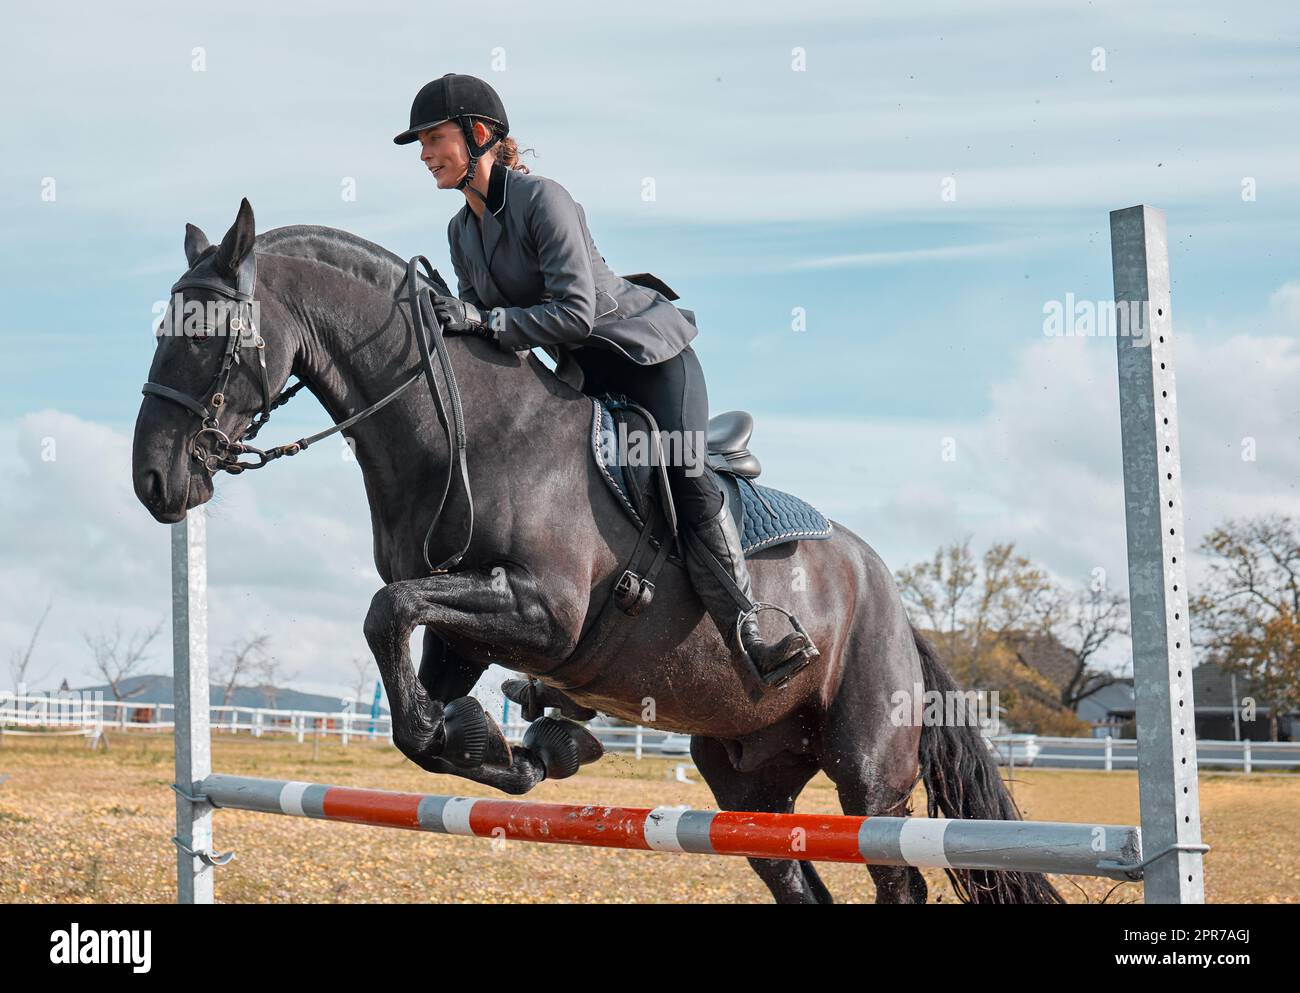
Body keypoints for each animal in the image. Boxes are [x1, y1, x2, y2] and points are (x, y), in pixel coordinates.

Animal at [131, 201, 1060, 909]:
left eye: (209, 336)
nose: (153, 480)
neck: (472, 432)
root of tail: (895, 603)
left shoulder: (543, 611)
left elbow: (384, 613)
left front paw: (523, 739)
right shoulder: (464, 629)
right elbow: (411, 704)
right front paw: (531, 745)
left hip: (870, 772)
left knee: (895, 872)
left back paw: (767, 642)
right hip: (748, 776)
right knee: (793, 872)